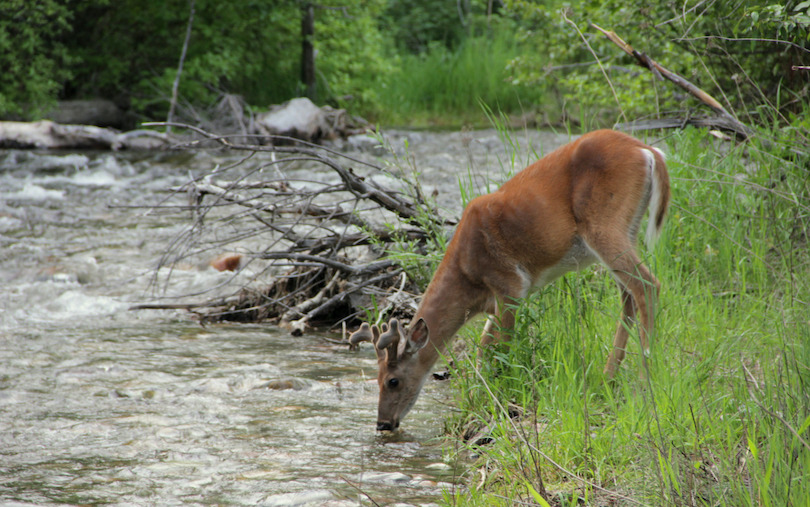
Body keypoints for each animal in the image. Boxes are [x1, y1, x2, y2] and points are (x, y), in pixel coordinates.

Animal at [348, 130, 668, 432]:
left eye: (392, 381)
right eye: (377, 378)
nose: (383, 423)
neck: (467, 275)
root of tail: (647, 150)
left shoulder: (510, 285)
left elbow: (503, 346)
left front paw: (504, 396)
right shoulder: (495, 301)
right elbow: (483, 350)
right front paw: (482, 396)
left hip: (604, 224)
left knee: (647, 285)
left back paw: (645, 375)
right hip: (626, 229)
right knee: (628, 296)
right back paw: (608, 376)